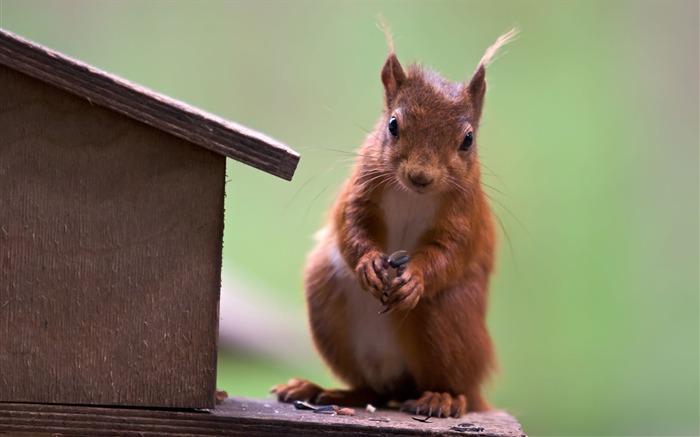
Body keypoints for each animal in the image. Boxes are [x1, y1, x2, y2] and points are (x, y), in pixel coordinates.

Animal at [270, 29, 516, 418]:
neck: (412, 194)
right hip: (325, 293)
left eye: (468, 140)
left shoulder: (465, 213)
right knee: (371, 391)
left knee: (455, 388)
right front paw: (369, 262)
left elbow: (451, 250)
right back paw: (322, 391)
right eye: (393, 125)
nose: (420, 176)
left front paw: (415, 277)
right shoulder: (362, 186)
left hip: (447, 316)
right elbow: (351, 224)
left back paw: (442, 398)